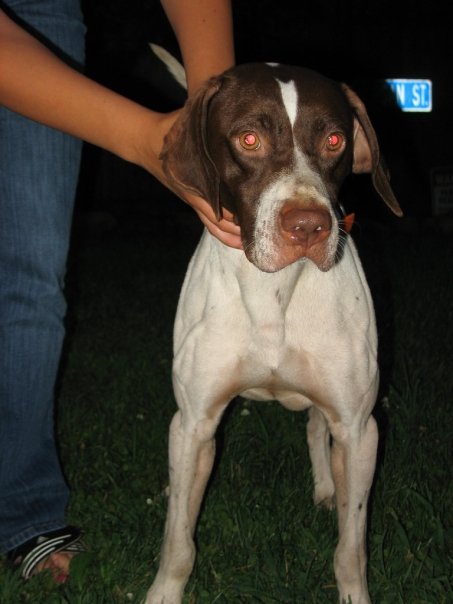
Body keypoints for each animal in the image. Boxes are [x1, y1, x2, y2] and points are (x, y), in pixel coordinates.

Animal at [145, 59, 402, 604]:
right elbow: (178, 540)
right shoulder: (195, 422)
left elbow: (351, 548)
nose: (308, 227)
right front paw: (163, 593)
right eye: (248, 139)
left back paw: (326, 487)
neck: (275, 291)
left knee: (316, 428)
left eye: (333, 140)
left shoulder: (359, 429)